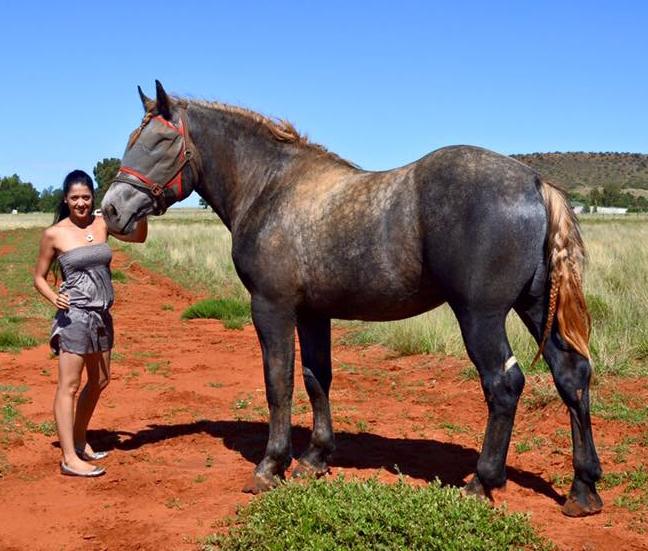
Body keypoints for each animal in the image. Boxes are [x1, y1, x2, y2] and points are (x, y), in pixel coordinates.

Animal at [101, 81, 604, 516]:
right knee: (571, 374)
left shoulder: (271, 307)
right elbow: (315, 378)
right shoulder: (313, 314)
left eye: (161, 142)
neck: (270, 187)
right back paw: (583, 488)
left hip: (480, 316)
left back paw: (481, 482)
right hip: (535, 307)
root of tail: (534, 182)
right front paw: (315, 459)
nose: (111, 209)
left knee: (503, 385)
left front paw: (270, 466)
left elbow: (278, 382)